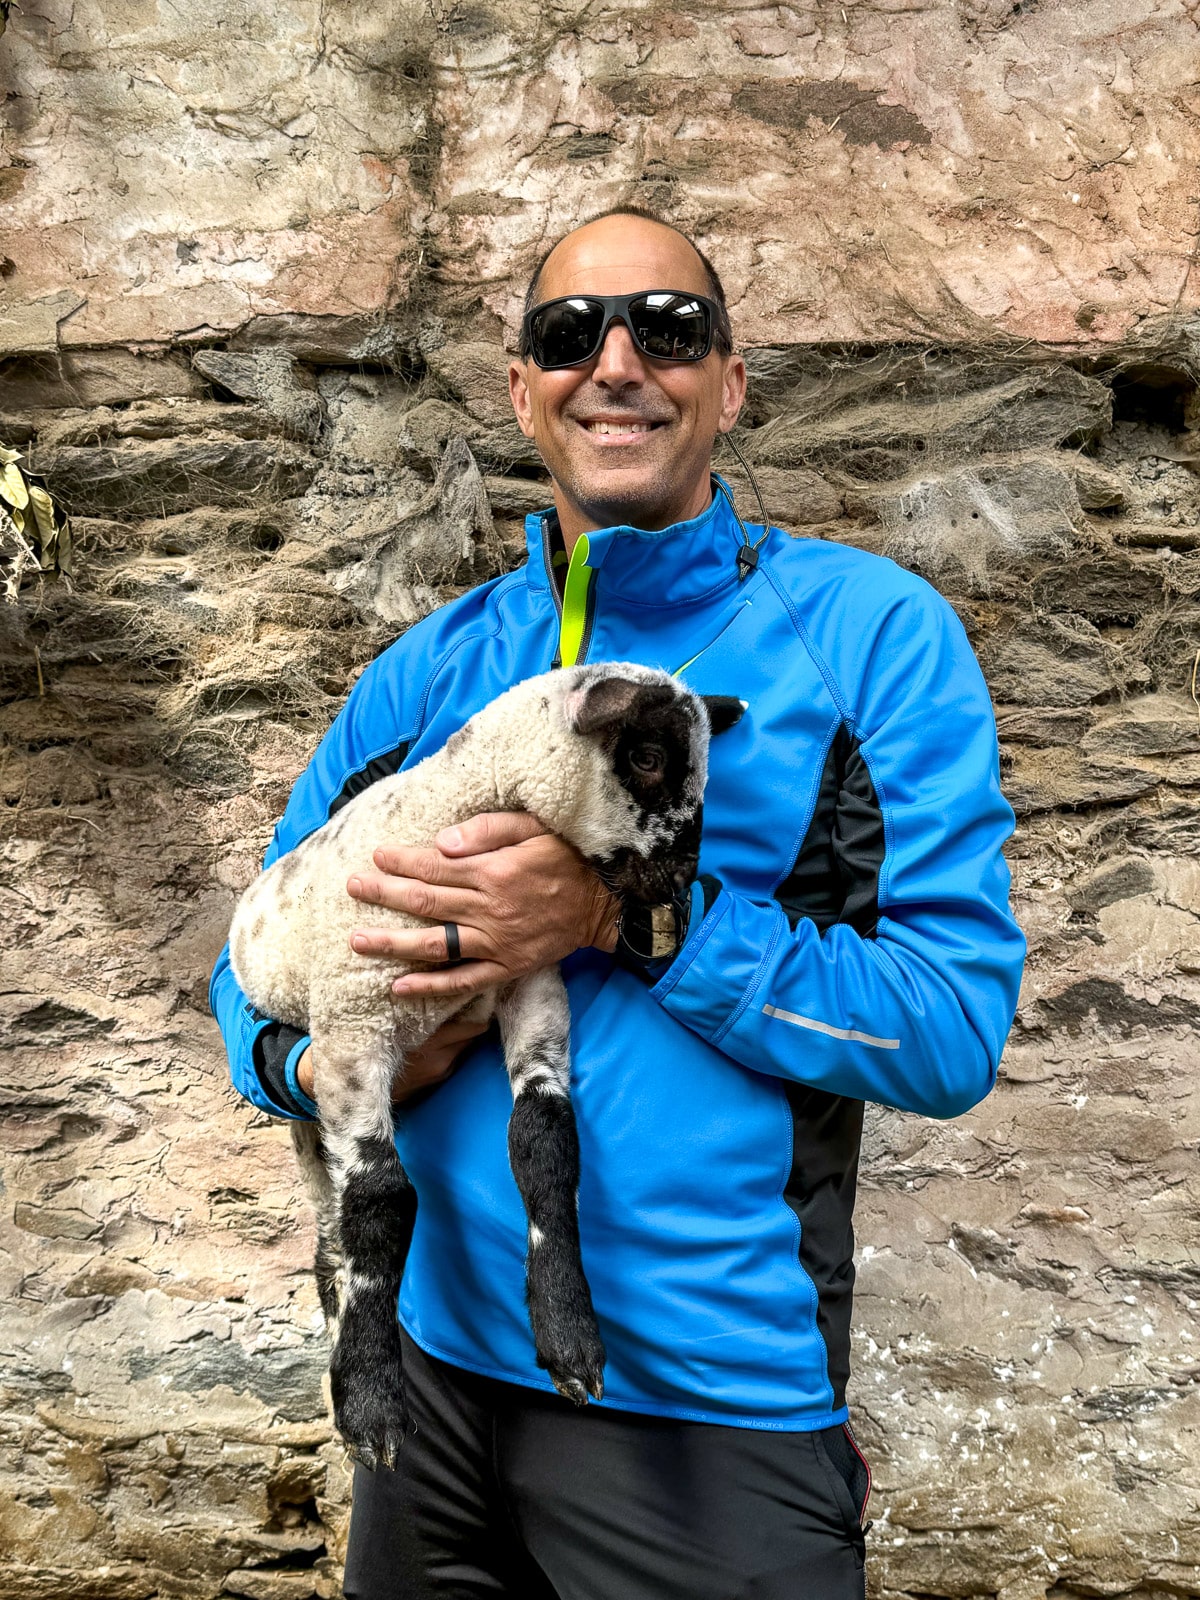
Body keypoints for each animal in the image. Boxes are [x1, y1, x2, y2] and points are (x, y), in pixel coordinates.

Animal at [225, 665, 742, 1472]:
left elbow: (545, 1142)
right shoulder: (352, 1028)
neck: (461, 803)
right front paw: (372, 1405)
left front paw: (568, 1336)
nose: (683, 880)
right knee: (336, 1226)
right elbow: (381, 1199)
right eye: (649, 757)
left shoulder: (529, 982)